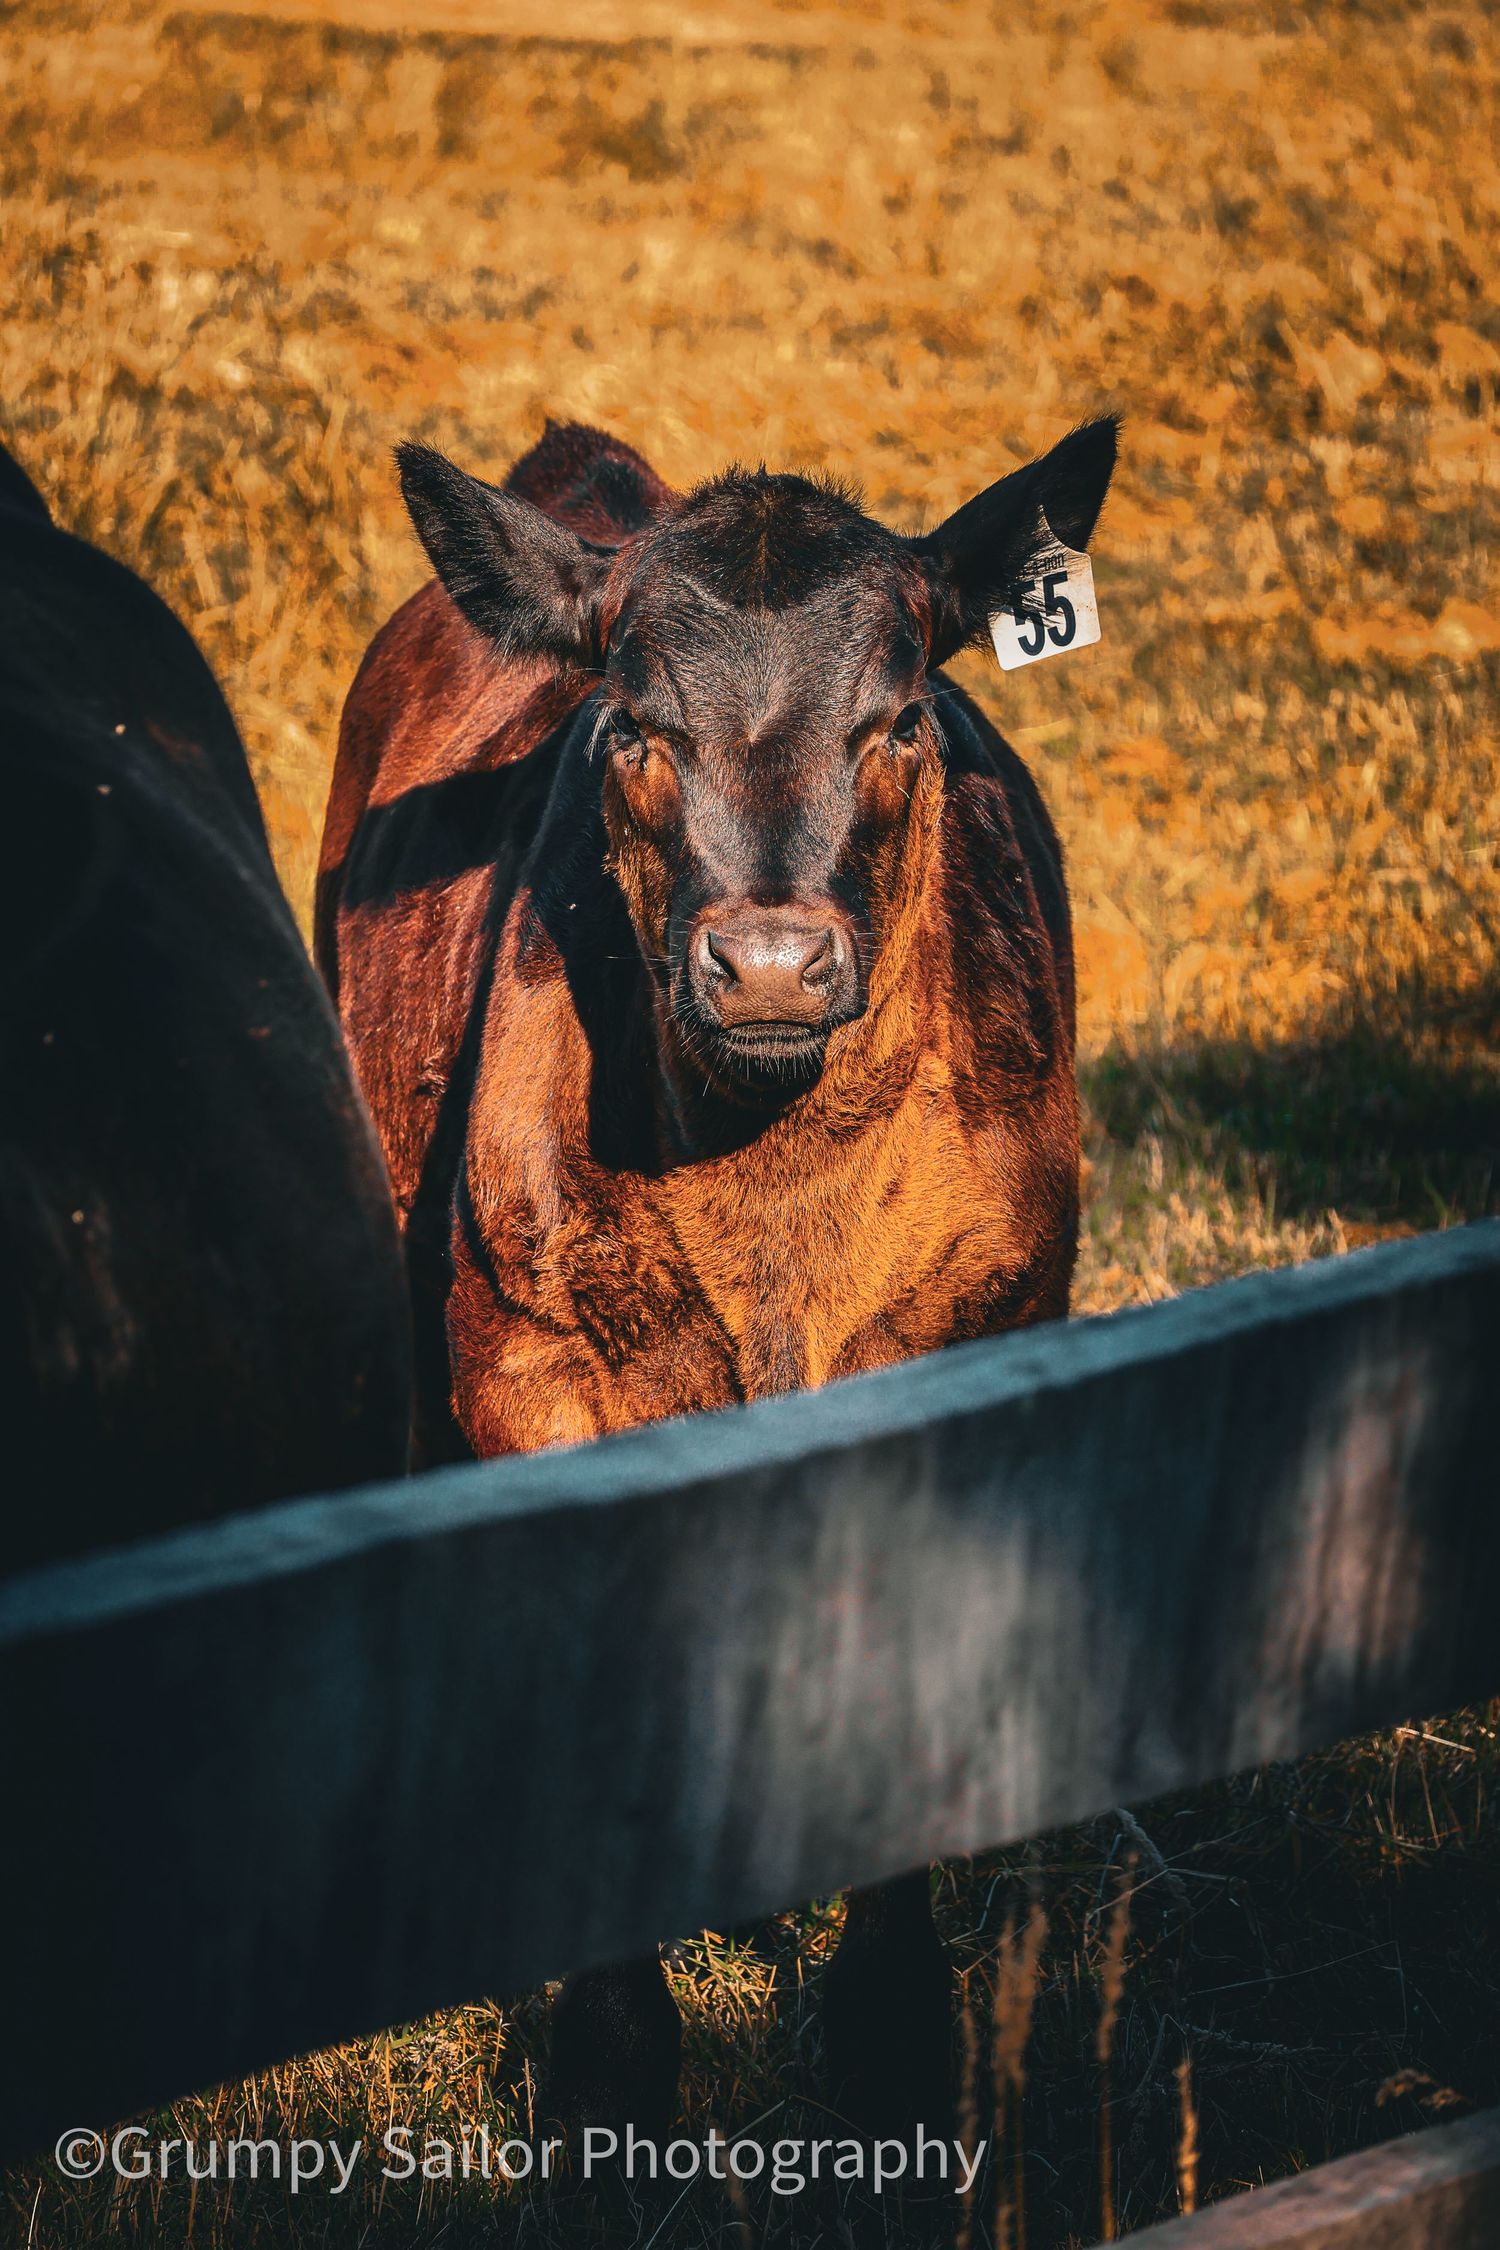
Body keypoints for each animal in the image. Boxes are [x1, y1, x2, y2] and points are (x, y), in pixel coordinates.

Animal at [317, 412, 1117, 2144]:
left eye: (900, 718)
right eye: (636, 726)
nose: (766, 965)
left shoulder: (983, 1329)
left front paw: (891, 2031)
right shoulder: (532, 1371)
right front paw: (605, 2059)